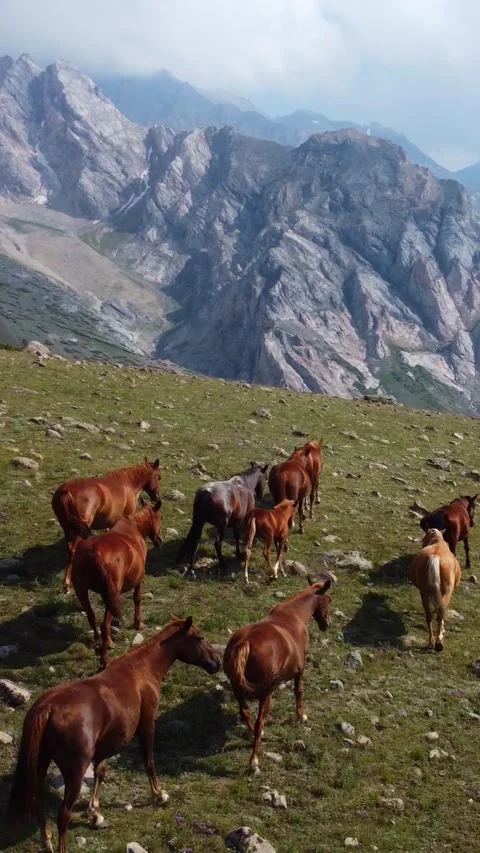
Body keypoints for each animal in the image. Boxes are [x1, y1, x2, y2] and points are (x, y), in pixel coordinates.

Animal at [6, 617, 220, 853]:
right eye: (199, 637)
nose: (216, 662)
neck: (141, 671)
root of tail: (47, 707)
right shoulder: (147, 726)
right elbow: (149, 761)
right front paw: (159, 795)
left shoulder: (104, 747)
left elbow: (100, 772)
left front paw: (95, 814)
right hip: (75, 771)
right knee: (63, 815)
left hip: (41, 762)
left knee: (36, 800)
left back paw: (46, 841)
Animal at [52, 458, 161, 594]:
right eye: (158, 477)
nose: (157, 497)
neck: (126, 483)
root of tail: (66, 491)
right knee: (73, 551)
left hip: (67, 528)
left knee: (69, 550)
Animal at [71, 500, 163, 669]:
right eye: (160, 517)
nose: (159, 541)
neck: (133, 528)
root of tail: (94, 551)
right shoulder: (139, 579)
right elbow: (137, 599)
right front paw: (138, 623)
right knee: (105, 625)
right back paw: (104, 659)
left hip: (82, 592)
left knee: (92, 617)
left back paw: (100, 643)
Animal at [223, 577, 332, 772]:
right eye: (329, 600)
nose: (328, 624)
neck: (293, 614)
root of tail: (244, 643)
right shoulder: (300, 671)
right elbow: (298, 692)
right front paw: (301, 716)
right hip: (265, 694)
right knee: (259, 721)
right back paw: (254, 761)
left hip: (238, 688)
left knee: (245, 714)